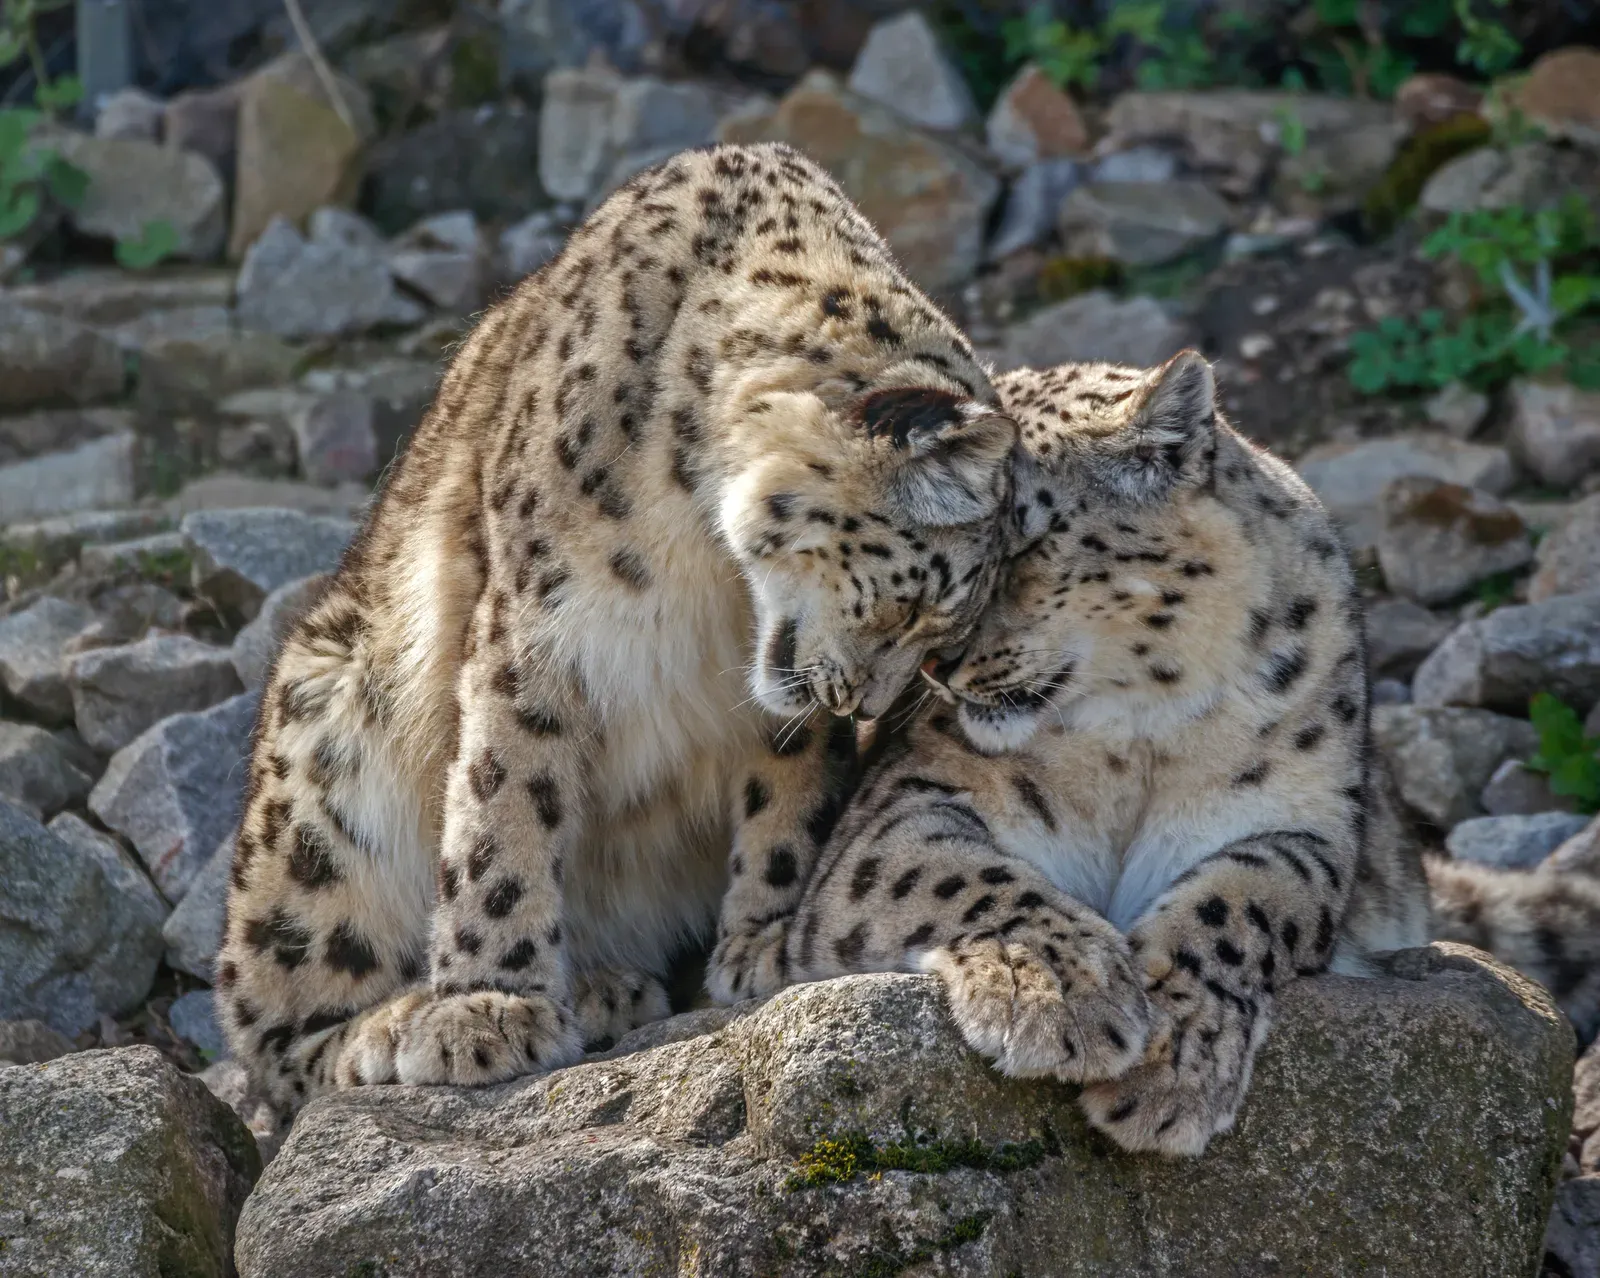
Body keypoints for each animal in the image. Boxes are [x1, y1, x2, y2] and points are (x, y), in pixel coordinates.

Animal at [215, 142, 1019, 1119]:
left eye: (943, 645)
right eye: (911, 607)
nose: (864, 704)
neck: (716, 574)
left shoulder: (778, 696)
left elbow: (791, 796)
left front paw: (763, 944)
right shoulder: (536, 631)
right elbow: (503, 804)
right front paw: (491, 1007)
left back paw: (607, 987)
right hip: (323, 762)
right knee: (275, 1024)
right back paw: (397, 1023)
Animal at [785, 350, 1431, 1157]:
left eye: (1023, 543)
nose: (935, 664)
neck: (1140, 733)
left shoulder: (1302, 818)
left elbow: (1245, 897)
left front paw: (1171, 1058)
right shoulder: (898, 806)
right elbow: (950, 871)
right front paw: (1061, 988)